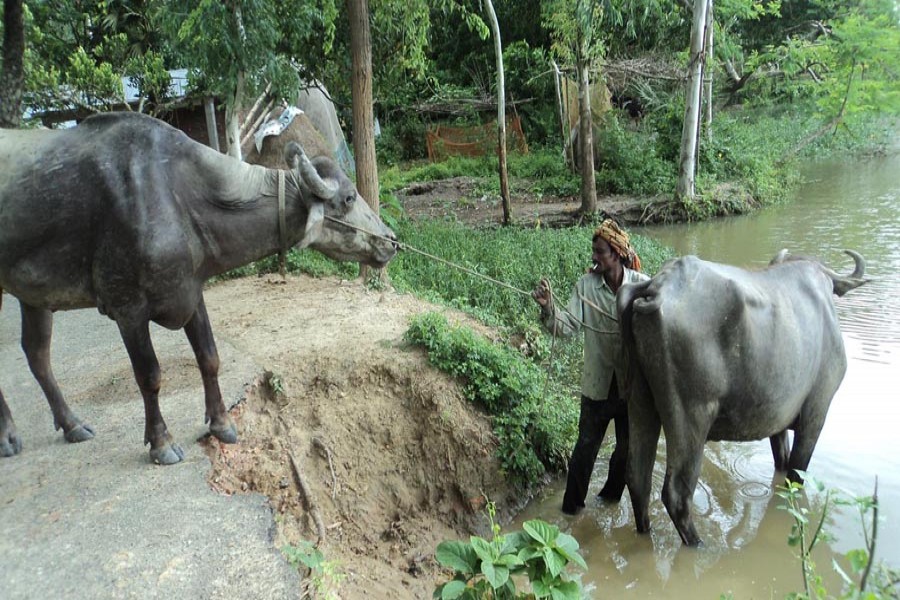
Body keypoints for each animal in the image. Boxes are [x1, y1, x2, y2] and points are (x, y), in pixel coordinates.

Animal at [0, 111, 400, 464]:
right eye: (348, 198)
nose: (392, 240)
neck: (179, 197)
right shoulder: (127, 309)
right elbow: (149, 376)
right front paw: (161, 442)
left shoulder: (192, 293)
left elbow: (209, 357)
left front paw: (221, 425)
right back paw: (9, 437)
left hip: (33, 296)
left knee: (37, 355)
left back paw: (72, 424)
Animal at [620, 251, 864, 548]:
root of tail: (657, 288)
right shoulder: (816, 412)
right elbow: (796, 475)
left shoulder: (777, 420)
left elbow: (782, 462)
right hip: (691, 416)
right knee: (677, 493)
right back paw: (698, 544)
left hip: (640, 400)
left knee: (637, 477)